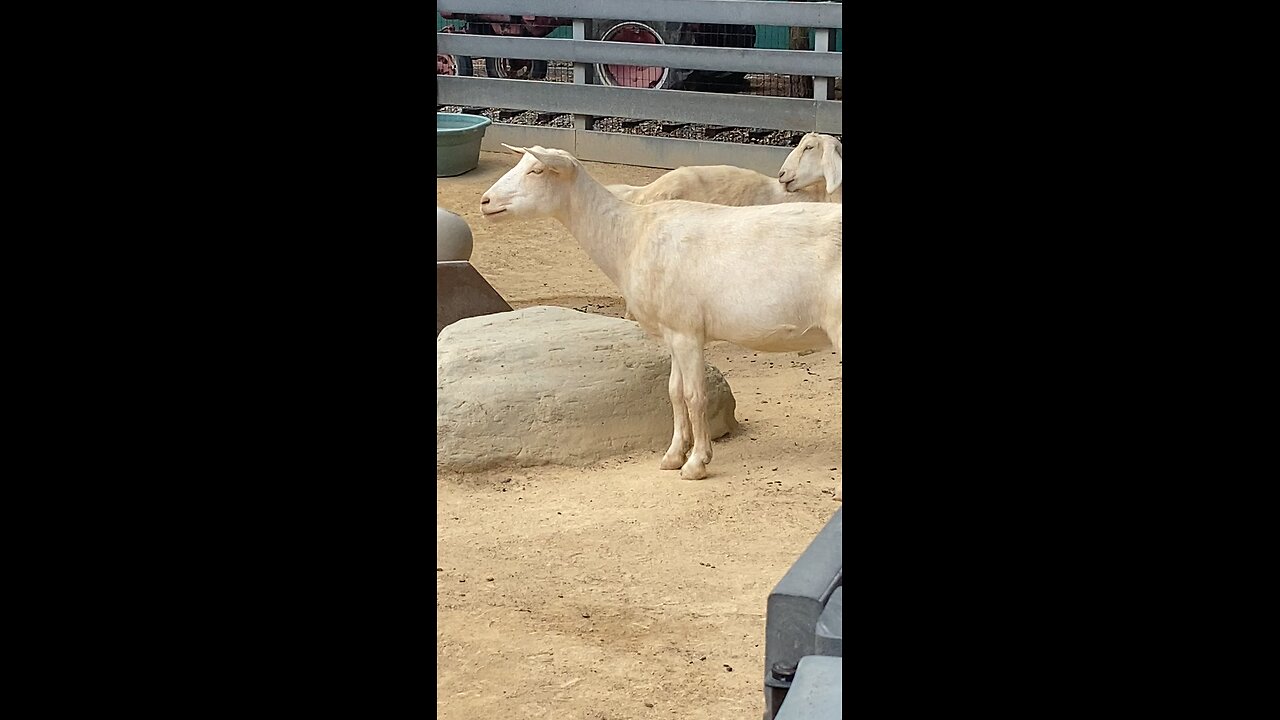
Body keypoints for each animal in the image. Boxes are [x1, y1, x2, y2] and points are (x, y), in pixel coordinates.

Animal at [480, 145, 841, 499]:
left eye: (537, 170)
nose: (485, 201)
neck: (629, 236)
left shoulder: (686, 331)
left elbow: (695, 396)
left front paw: (696, 464)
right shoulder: (672, 331)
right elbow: (674, 392)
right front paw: (672, 455)